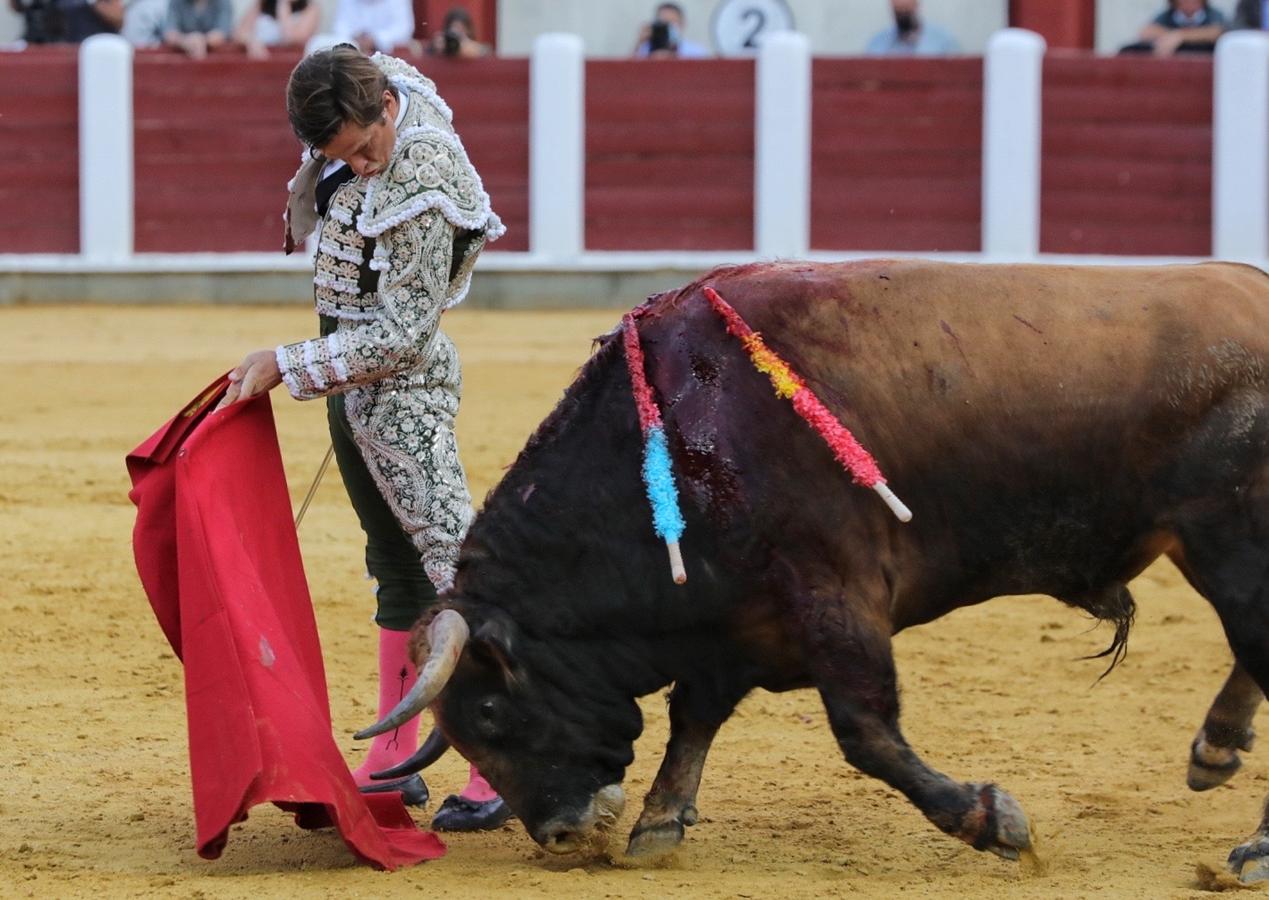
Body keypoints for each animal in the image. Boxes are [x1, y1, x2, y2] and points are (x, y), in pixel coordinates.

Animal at [355, 257, 1269, 878]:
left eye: (491, 713)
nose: (560, 834)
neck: (676, 440)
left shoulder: (833, 594)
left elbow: (863, 730)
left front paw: (990, 820)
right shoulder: (732, 620)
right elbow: (694, 714)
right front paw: (658, 824)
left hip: (1230, 543)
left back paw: (1251, 838)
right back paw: (1215, 750)